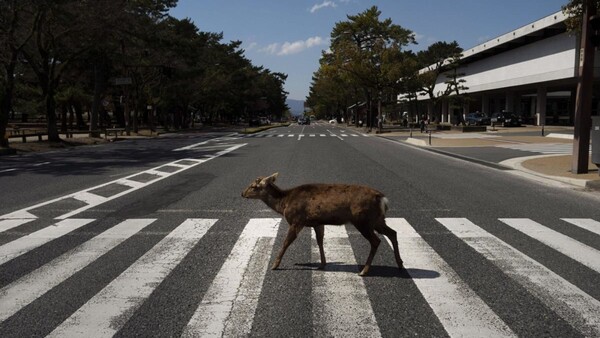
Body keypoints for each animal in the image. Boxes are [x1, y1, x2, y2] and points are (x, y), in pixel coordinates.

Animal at [240, 173, 404, 276]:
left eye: (254, 186)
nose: (242, 193)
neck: (284, 203)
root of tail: (382, 199)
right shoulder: (317, 223)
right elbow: (320, 241)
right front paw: (322, 264)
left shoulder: (297, 220)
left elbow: (286, 242)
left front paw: (275, 265)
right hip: (377, 219)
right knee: (393, 233)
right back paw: (400, 264)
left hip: (363, 219)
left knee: (376, 240)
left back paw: (364, 271)